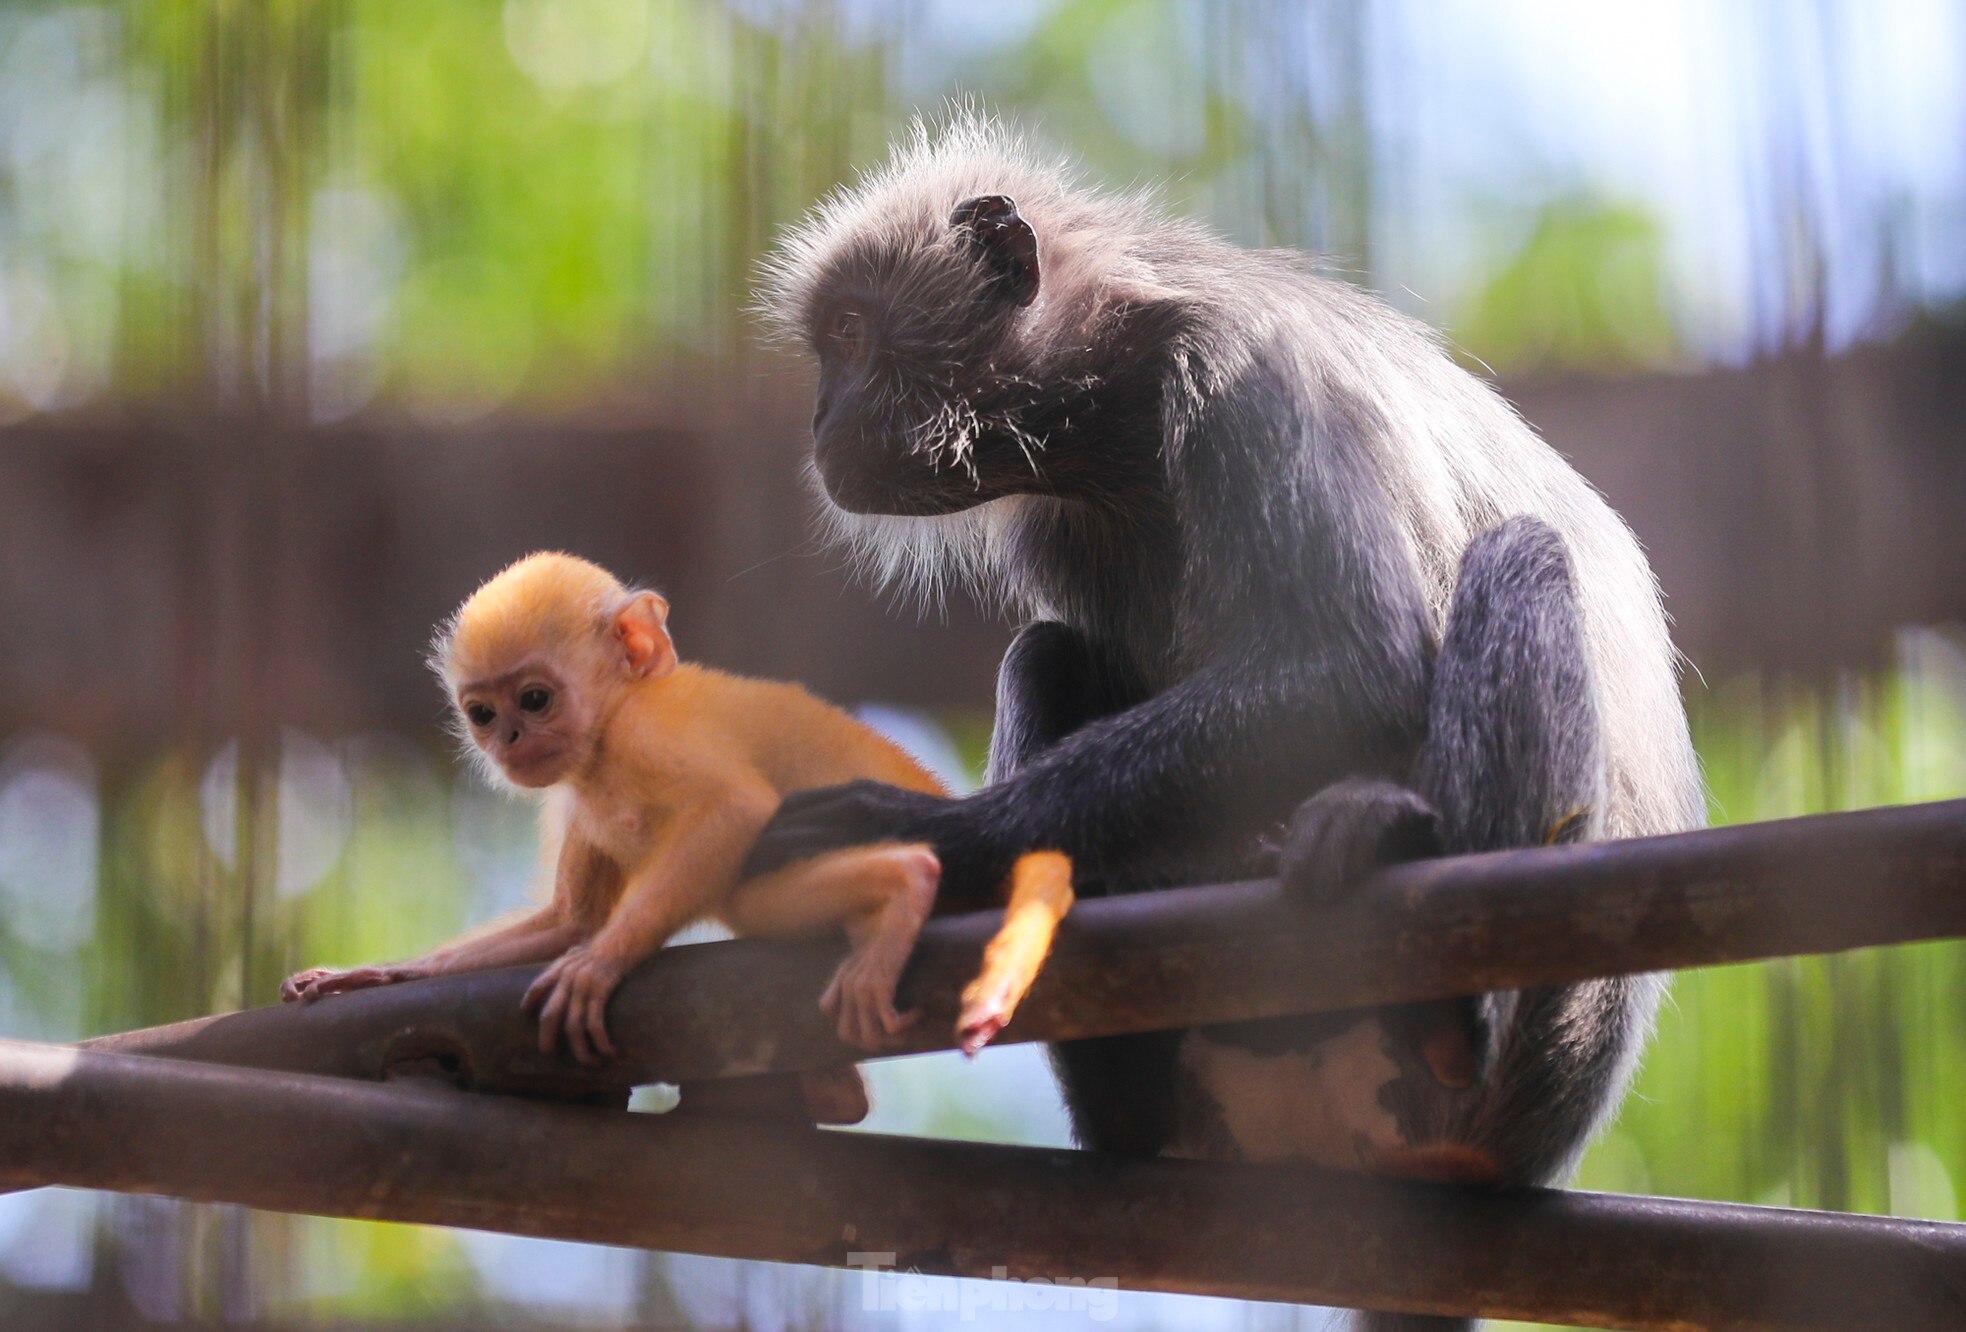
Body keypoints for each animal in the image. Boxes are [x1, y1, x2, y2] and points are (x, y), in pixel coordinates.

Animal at [281, 554, 1077, 1108]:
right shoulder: (576, 797)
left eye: (534, 700)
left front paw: (599, 967)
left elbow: (734, 809)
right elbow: (571, 920)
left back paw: (905, 885)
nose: (507, 738)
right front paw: (376, 976)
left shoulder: (647, 733)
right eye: (481, 712)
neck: (607, 734)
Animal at [751, 114, 1706, 1328]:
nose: (819, 415)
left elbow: (1356, 665)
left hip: (1550, 1041)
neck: (1115, 415)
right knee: (1047, 651)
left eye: (850, 334)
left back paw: (1425, 936)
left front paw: (935, 837)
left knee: (1521, 554)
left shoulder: (1247, 375)